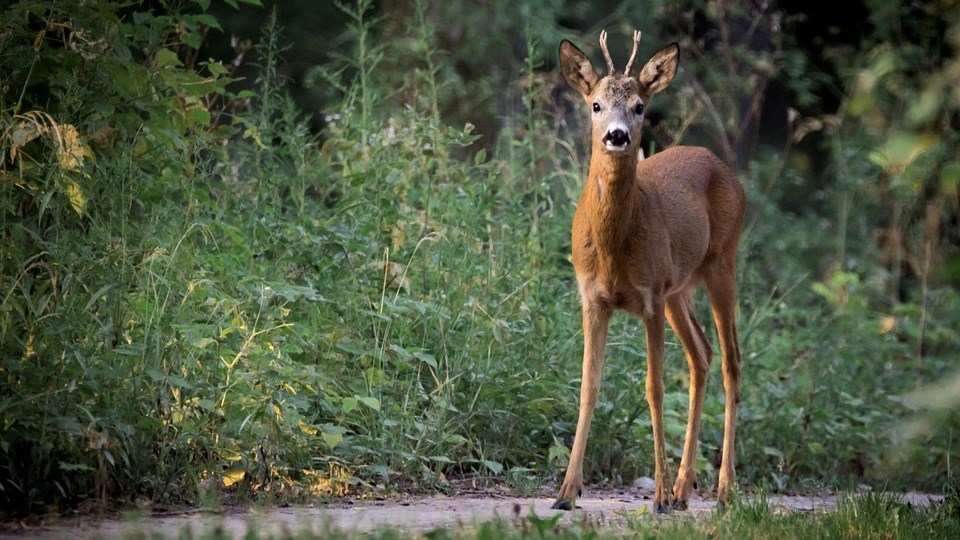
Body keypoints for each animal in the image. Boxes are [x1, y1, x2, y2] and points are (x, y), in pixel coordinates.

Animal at [551, 30, 745, 513]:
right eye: (596, 104)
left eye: (639, 106)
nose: (618, 136)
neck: (613, 251)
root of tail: (723, 165)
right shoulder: (592, 297)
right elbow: (588, 386)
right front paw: (566, 491)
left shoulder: (650, 296)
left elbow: (654, 389)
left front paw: (656, 494)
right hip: (680, 289)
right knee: (702, 355)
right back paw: (683, 489)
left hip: (722, 263)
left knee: (731, 361)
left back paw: (722, 488)